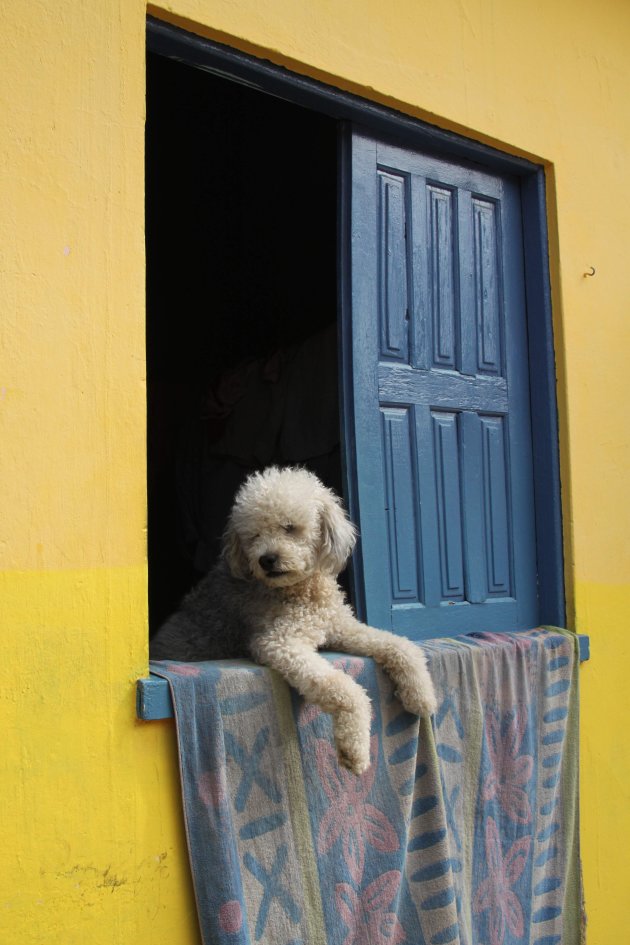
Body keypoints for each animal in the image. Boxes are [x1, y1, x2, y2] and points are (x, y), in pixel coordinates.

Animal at [152, 466, 440, 776]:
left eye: (289, 527)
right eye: (254, 534)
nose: (267, 559)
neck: (303, 591)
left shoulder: (341, 627)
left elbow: (399, 645)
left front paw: (422, 695)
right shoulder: (279, 641)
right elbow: (342, 686)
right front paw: (354, 748)